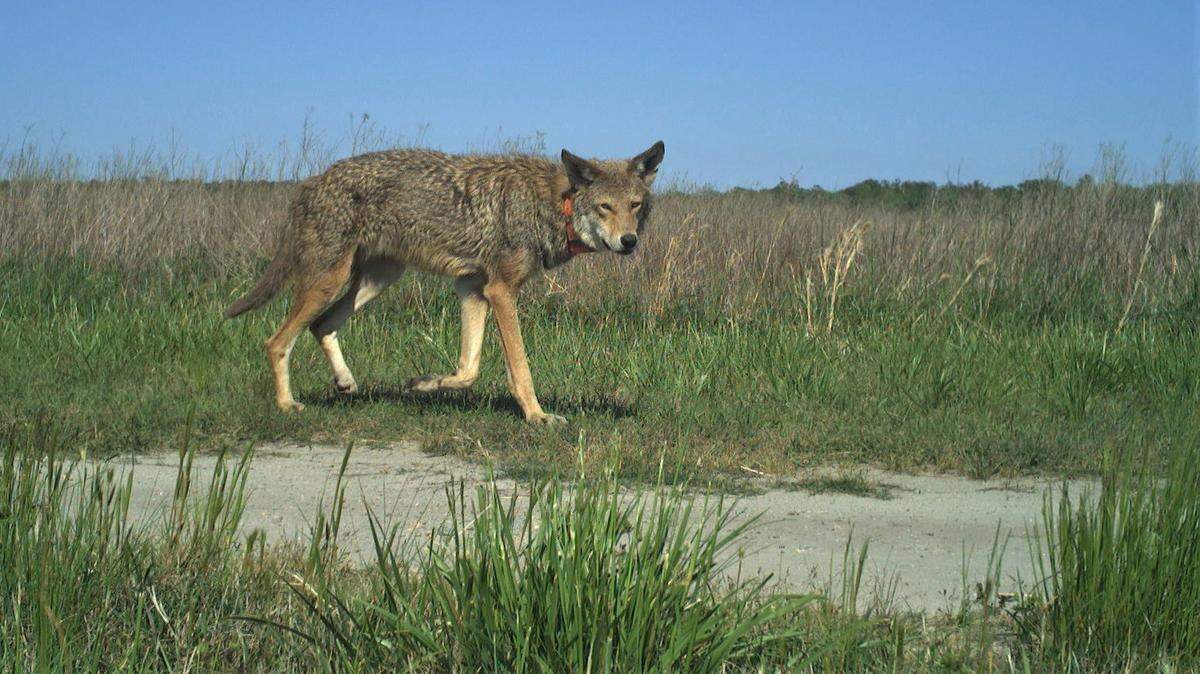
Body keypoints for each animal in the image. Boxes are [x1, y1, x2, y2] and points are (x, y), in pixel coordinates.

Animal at [224, 141, 665, 424]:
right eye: (605, 207)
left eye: (635, 205)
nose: (629, 241)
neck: (556, 204)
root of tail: (311, 182)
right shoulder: (500, 292)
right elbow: (519, 368)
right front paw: (537, 416)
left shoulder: (472, 289)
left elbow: (468, 369)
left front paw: (423, 384)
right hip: (330, 282)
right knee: (277, 341)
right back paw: (287, 405)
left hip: (377, 280)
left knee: (321, 326)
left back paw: (346, 382)